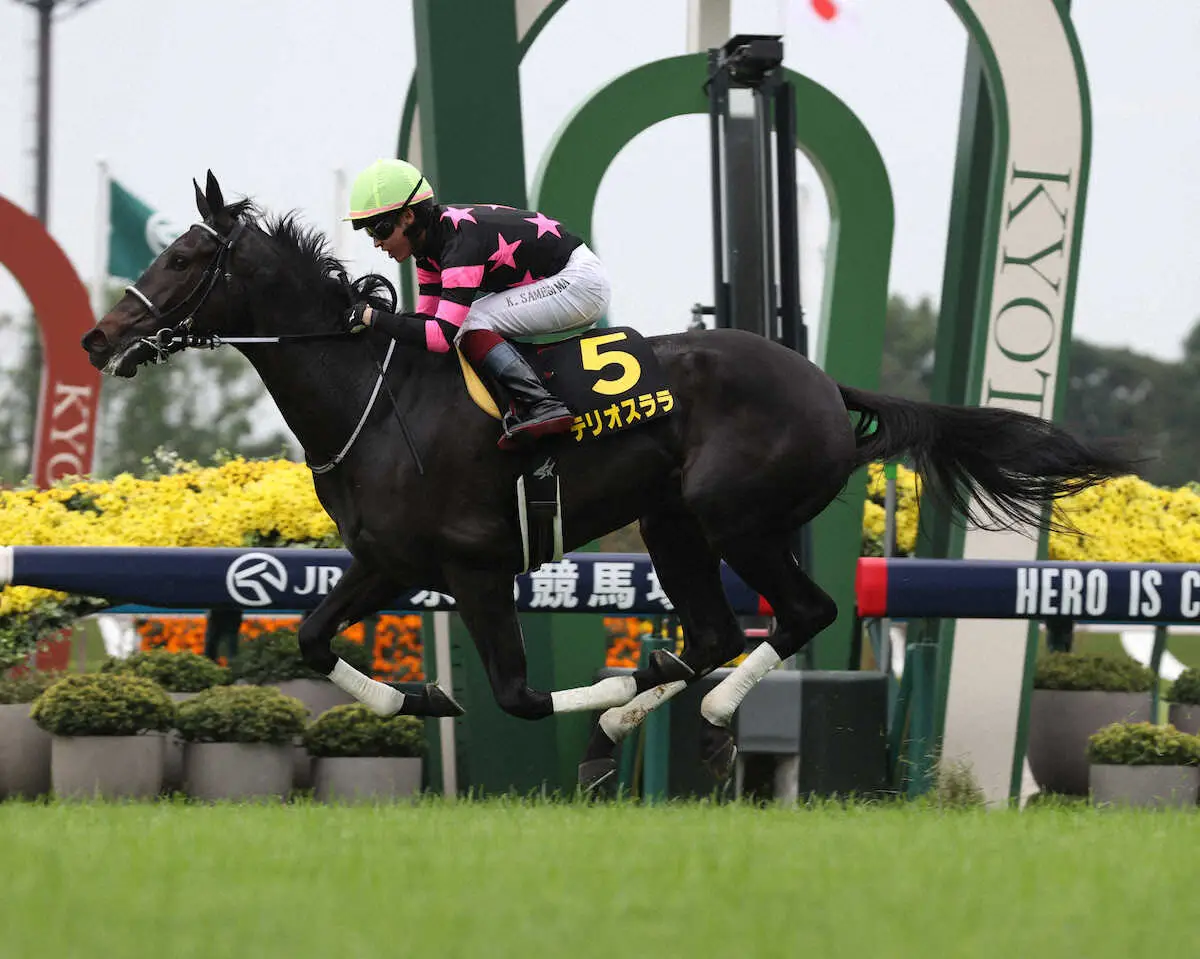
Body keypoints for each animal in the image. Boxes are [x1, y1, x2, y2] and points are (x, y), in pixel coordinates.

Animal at [82, 176, 1132, 792]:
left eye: (185, 256)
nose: (98, 338)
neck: (377, 397)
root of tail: (825, 383)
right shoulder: (388, 562)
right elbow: (307, 635)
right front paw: (410, 703)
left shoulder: (473, 567)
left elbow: (516, 697)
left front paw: (548, 718)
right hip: (672, 522)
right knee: (715, 633)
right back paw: (645, 704)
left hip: (733, 516)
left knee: (799, 613)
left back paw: (701, 713)